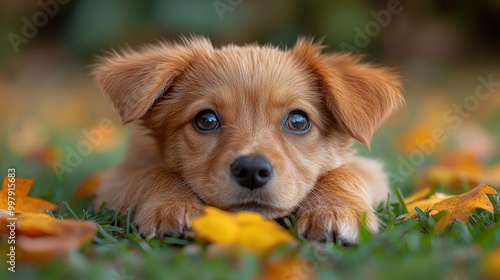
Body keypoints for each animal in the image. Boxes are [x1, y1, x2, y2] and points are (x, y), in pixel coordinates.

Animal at [93, 36, 402, 243]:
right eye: (206, 120)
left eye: (298, 121)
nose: (252, 171)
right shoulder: (116, 179)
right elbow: (152, 174)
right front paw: (172, 206)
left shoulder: (370, 171)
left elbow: (344, 173)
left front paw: (335, 211)